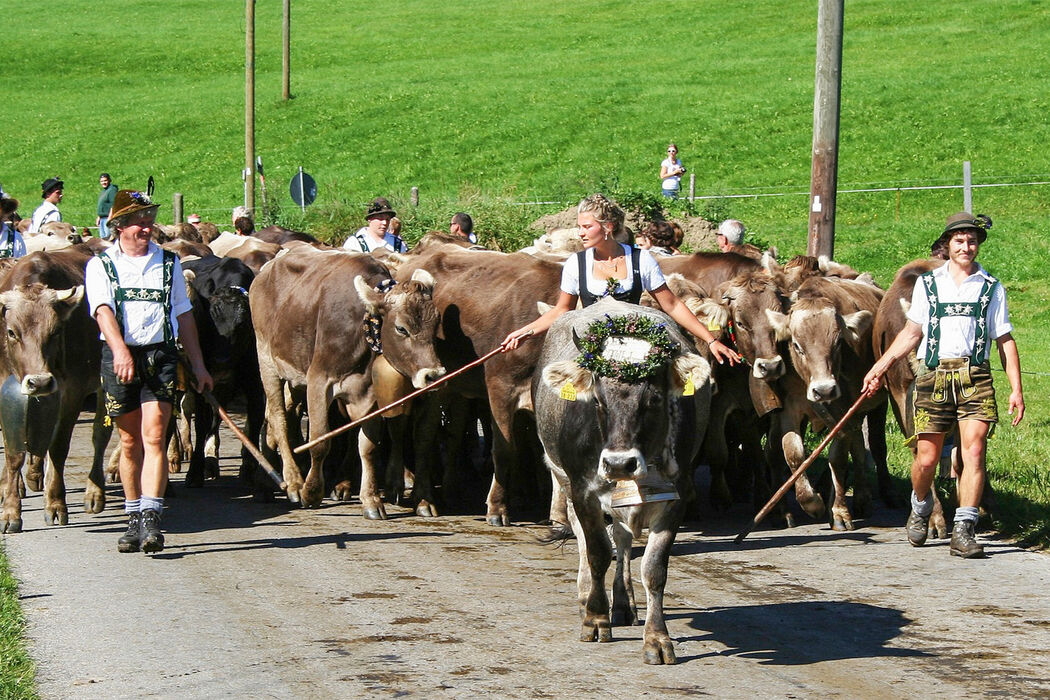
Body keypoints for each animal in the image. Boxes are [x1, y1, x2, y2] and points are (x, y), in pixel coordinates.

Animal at [0, 246, 110, 531]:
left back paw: (94, 493)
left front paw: (56, 504)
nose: (39, 381)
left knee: (100, 435)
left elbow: (58, 447)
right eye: (12, 332)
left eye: (56, 331)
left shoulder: (71, 393)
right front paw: (10, 510)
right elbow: (13, 452)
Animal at [251, 247, 445, 514]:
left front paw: (371, 499)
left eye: (436, 323)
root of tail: (268, 267)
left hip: (295, 378)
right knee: (279, 418)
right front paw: (311, 492)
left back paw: (267, 483)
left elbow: (368, 447)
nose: (434, 375)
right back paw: (292, 482)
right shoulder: (319, 381)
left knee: (272, 418)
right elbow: (320, 441)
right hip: (267, 361)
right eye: (401, 328)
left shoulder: (369, 394)